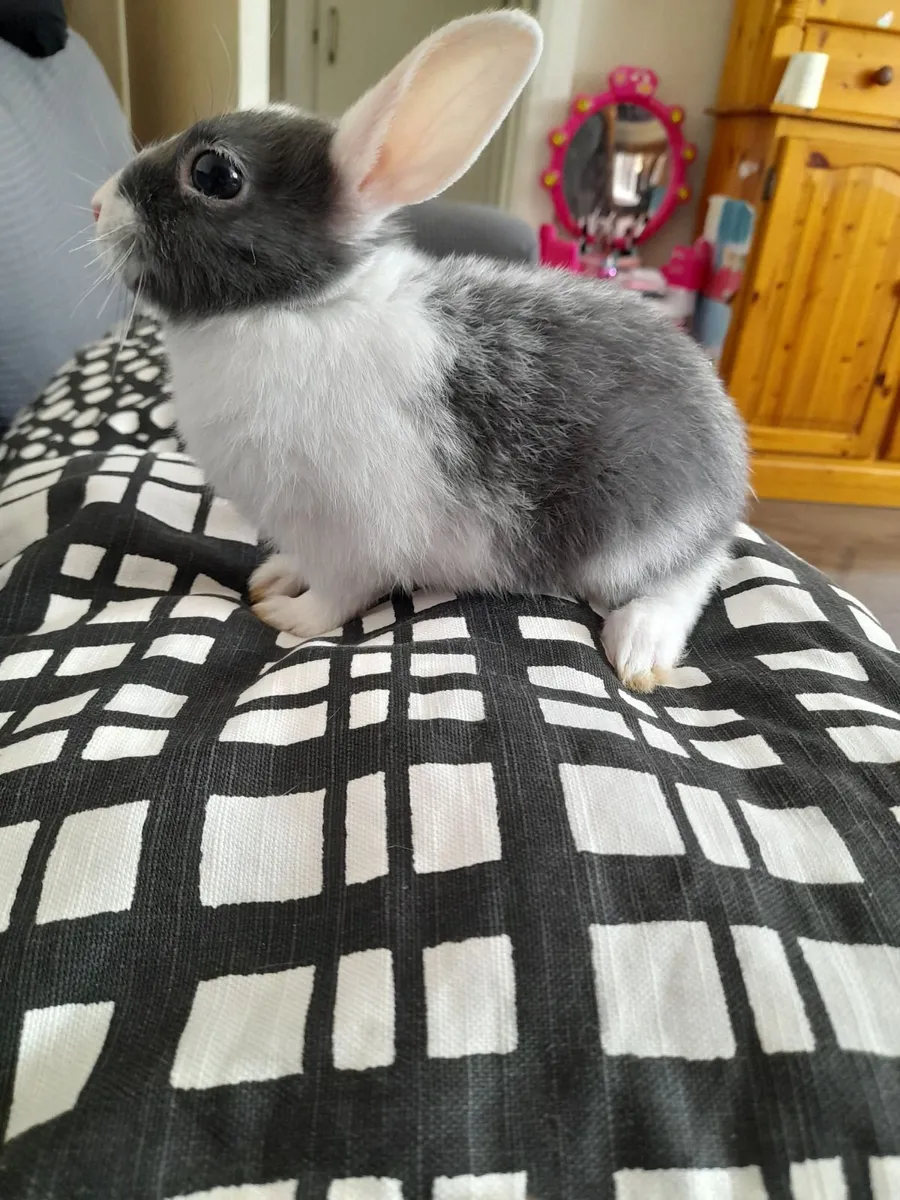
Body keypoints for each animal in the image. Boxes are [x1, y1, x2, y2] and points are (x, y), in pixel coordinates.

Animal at [91, 10, 748, 693]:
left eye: (214, 174)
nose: (96, 205)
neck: (303, 306)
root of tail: (728, 460)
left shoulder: (353, 535)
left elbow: (336, 595)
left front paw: (288, 616)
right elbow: (301, 564)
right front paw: (273, 579)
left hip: (636, 534)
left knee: (686, 579)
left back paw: (640, 649)